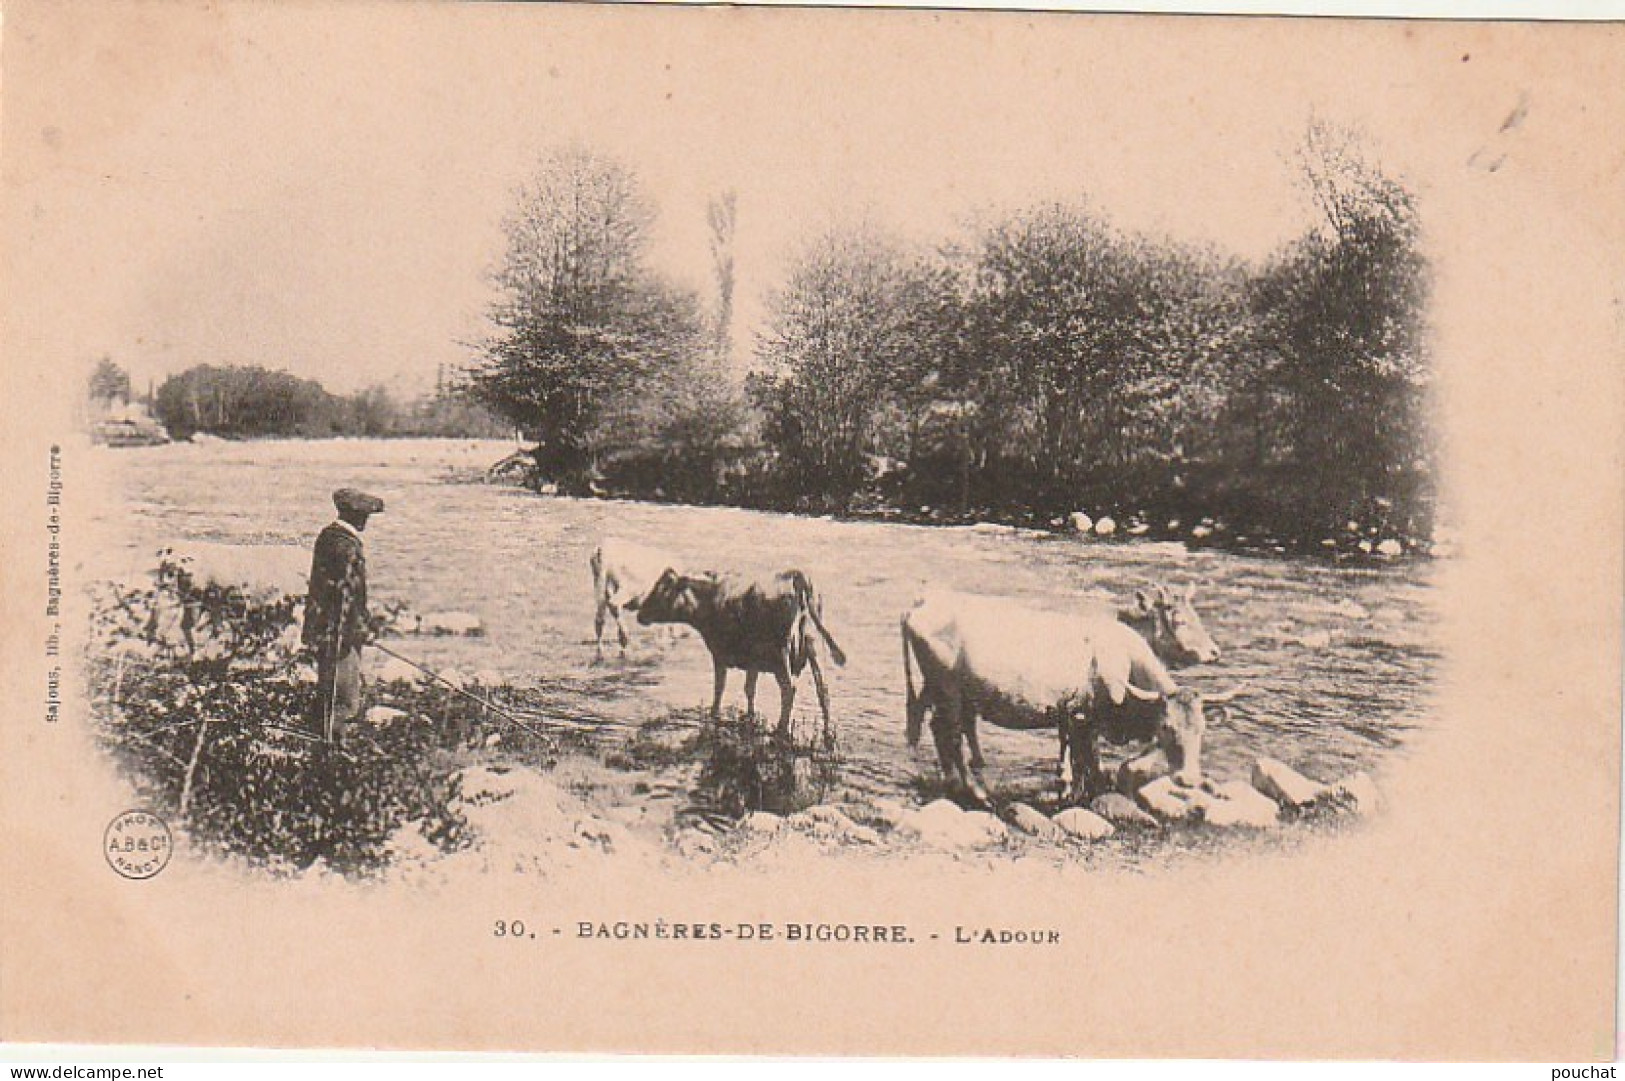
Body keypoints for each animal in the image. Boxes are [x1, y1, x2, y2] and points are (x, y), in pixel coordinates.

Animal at [637, 565, 851, 734]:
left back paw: (781, 730)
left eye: (663, 589)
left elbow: (719, 687)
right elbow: (749, 689)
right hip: (812, 647)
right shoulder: (752, 661)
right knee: (823, 689)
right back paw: (826, 730)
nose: (640, 614)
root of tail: (795, 576)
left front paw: (714, 714)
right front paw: (750, 717)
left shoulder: (719, 653)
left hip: (781, 655)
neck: (712, 598)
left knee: (789, 690)